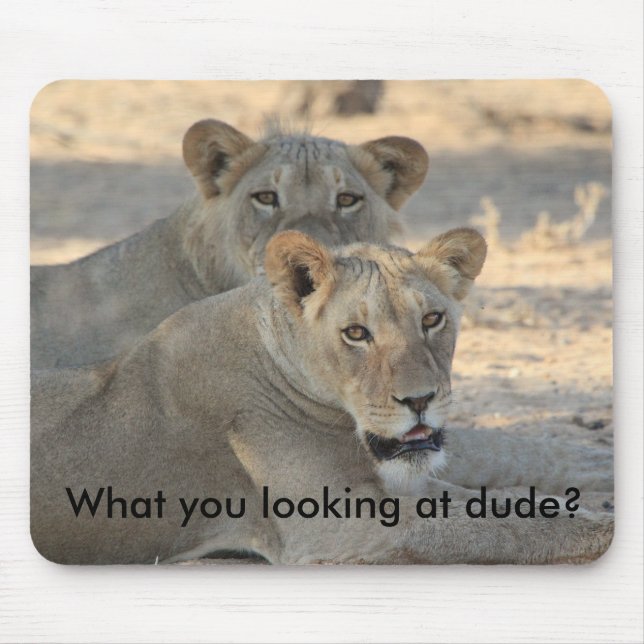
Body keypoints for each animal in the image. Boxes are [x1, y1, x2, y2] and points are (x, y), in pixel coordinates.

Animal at [31, 228, 613, 565]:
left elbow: (513, 467)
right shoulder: (338, 528)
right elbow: (501, 523)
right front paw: (602, 526)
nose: (420, 400)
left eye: (432, 319)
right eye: (356, 333)